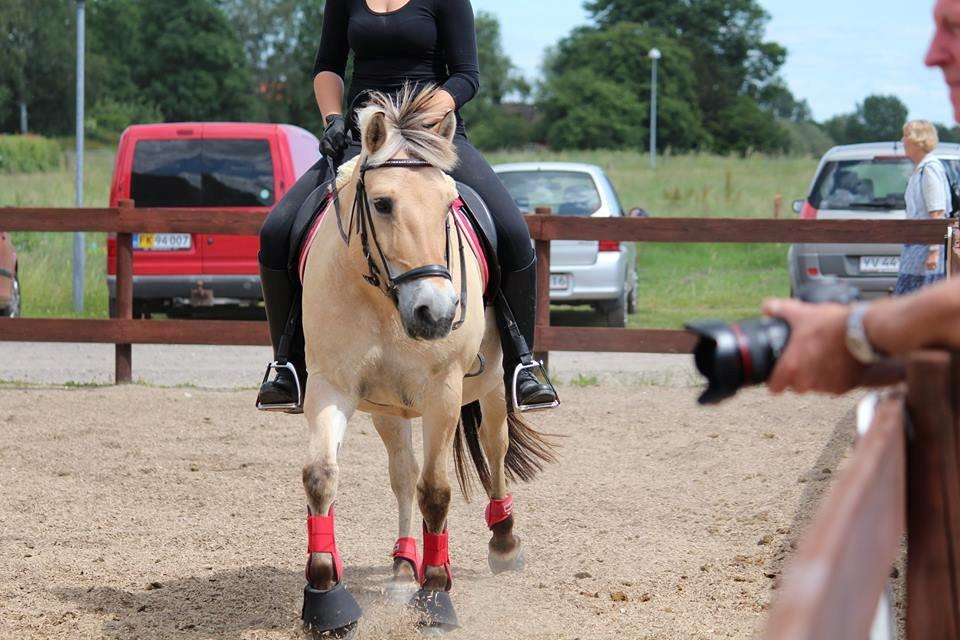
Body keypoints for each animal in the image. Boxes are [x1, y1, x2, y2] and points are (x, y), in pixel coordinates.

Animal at [295, 86, 556, 636]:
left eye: (448, 205)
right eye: (382, 203)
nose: (435, 311)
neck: (384, 301)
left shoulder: (443, 392)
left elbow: (435, 491)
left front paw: (436, 597)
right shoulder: (332, 386)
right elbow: (322, 476)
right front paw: (326, 595)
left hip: (491, 389)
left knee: (494, 447)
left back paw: (504, 542)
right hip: (387, 410)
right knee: (402, 473)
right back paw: (400, 567)